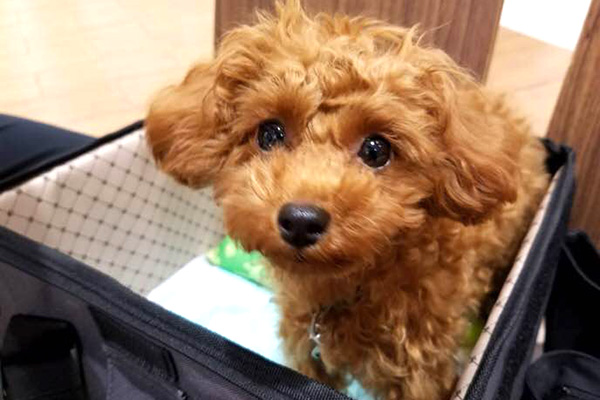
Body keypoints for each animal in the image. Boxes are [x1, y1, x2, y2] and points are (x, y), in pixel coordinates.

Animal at [145, 2, 550, 398]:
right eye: (269, 133)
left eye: (376, 150)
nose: (300, 220)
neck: (353, 283)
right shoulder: (306, 348)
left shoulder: (421, 372)